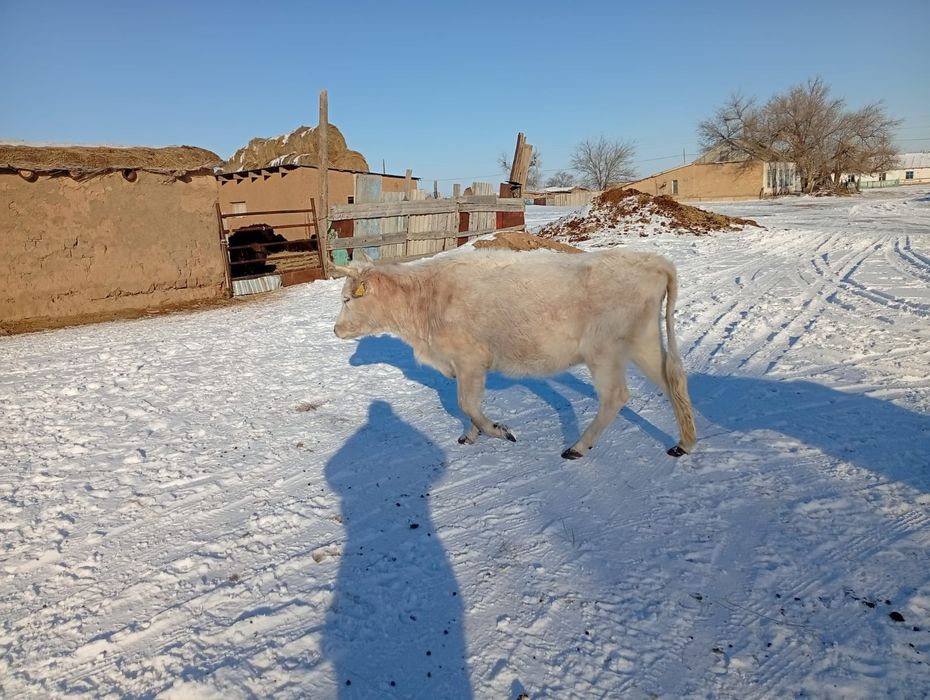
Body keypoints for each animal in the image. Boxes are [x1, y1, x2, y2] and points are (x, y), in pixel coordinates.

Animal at [333, 248, 696, 459]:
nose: (336, 330)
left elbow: (468, 404)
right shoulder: (464, 365)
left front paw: (498, 431)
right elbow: (470, 406)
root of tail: (654, 261)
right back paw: (685, 443)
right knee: (672, 381)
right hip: (643, 342)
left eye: (347, 299)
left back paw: (578, 447)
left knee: (616, 396)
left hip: (604, 352)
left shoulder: (470, 359)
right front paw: (471, 435)